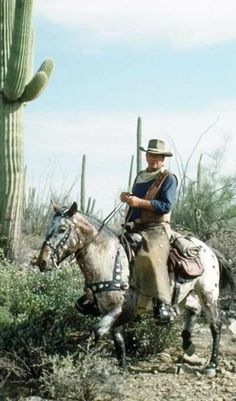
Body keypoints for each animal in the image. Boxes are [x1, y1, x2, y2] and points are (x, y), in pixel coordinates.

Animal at [36, 202, 234, 374]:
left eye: (62, 229)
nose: (42, 262)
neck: (108, 259)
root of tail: (209, 249)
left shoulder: (118, 309)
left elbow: (96, 333)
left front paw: (77, 363)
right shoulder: (109, 310)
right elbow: (118, 341)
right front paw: (123, 369)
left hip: (208, 294)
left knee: (215, 324)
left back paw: (212, 365)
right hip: (185, 295)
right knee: (194, 310)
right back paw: (187, 343)